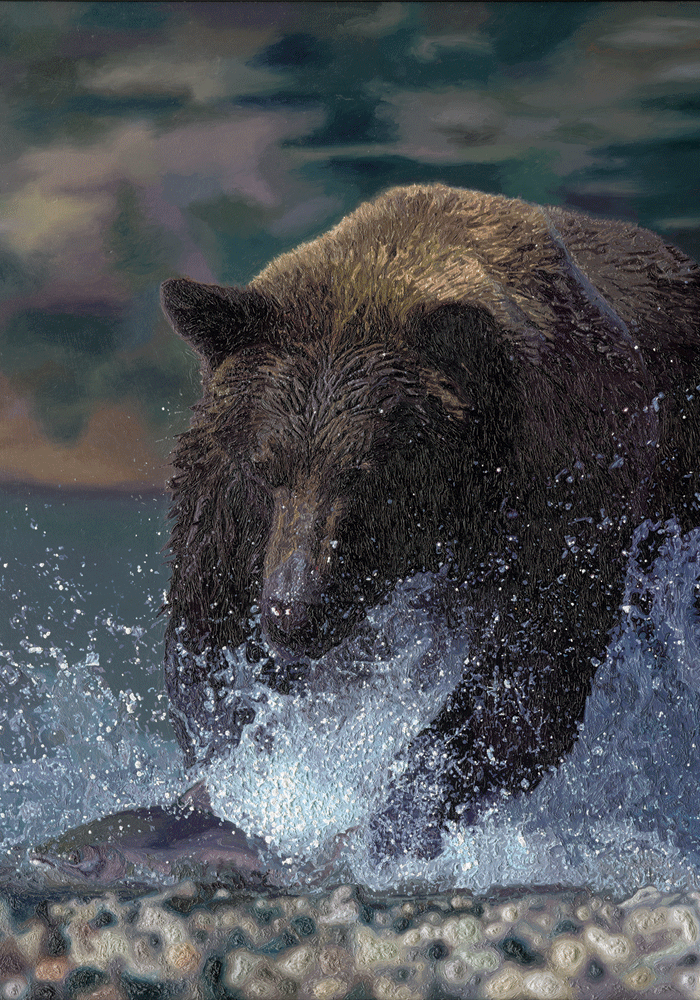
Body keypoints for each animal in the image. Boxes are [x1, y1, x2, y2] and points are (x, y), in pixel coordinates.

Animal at [160, 184, 700, 858]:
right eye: (268, 466)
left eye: (367, 473)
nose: (293, 610)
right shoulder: (228, 506)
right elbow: (209, 647)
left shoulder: (563, 488)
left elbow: (525, 681)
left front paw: (385, 821)